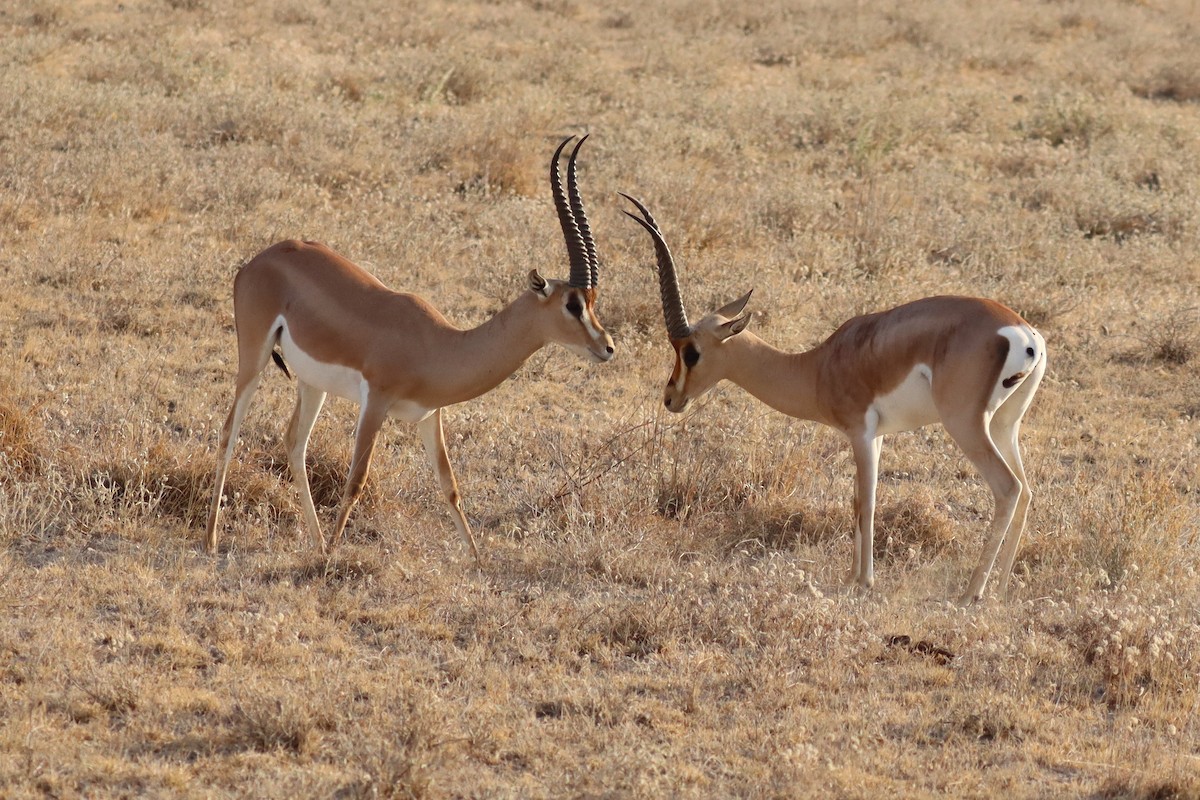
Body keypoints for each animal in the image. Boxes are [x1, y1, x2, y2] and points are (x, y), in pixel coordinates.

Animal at [204, 136, 614, 560]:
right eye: (572, 304)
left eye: (593, 300)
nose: (607, 347)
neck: (438, 345)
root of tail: (255, 262)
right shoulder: (376, 402)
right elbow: (357, 480)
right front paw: (334, 554)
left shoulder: (429, 416)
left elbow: (450, 487)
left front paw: (477, 560)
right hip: (253, 359)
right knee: (229, 432)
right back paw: (213, 539)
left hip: (312, 384)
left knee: (294, 443)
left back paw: (315, 542)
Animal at [622, 194, 1046, 604]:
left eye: (691, 352)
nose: (671, 397)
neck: (818, 366)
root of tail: (1024, 334)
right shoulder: (876, 436)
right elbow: (856, 500)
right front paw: (851, 577)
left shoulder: (860, 432)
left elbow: (867, 503)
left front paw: (865, 582)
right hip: (1004, 425)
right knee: (1026, 490)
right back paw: (1000, 590)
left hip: (965, 424)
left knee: (1008, 488)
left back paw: (971, 592)